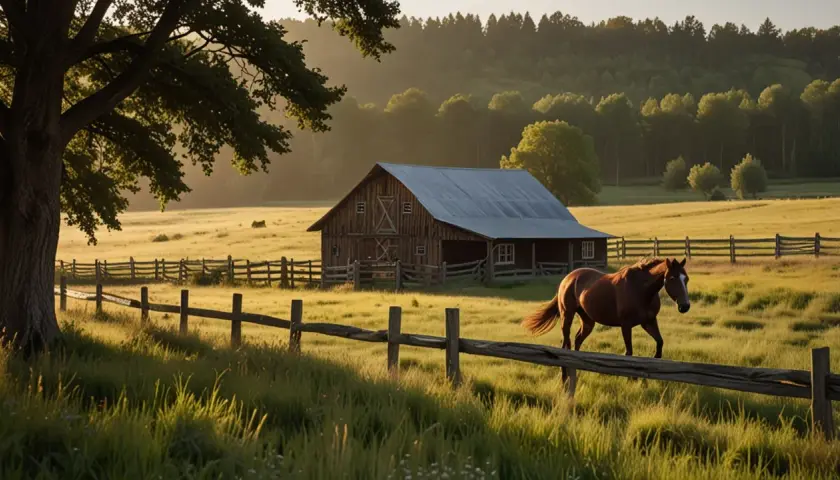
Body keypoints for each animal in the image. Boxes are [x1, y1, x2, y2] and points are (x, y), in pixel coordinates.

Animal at [521, 257, 691, 382]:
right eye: (672, 278)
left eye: (686, 279)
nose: (685, 306)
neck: (641, 290)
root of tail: (567, 278)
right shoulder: (626, 325)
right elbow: (629, 353)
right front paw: (632, 379)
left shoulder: (648, 322)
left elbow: (659, 343)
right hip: (567, 315)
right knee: (565, 345)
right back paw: (565, 378)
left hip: (588, 321)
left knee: (577, 341)